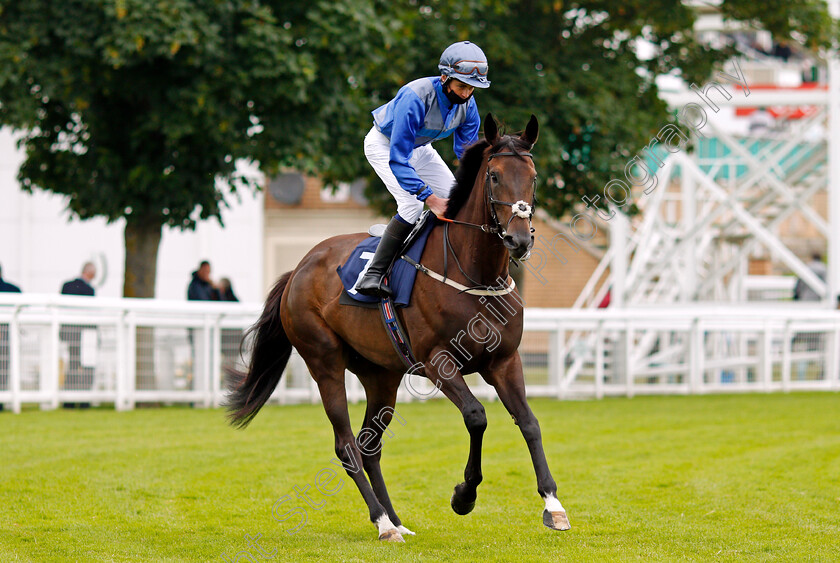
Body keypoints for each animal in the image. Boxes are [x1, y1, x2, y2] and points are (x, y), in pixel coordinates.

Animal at [226, 113, 572, 540]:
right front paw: (464, 495)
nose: (519, 239)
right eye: (493, 176)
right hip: (324, 361)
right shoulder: (439, 362)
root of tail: (299, 269)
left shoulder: (505, 361)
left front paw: (553, 505)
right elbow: (477, 416)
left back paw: (395, 521)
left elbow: (529, 423)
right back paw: (381, 521)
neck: (475, 274)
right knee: (347, 445)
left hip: (380, 374)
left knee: (369, 446)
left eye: (534, 177)